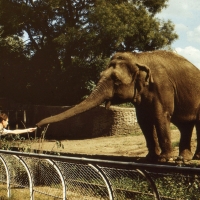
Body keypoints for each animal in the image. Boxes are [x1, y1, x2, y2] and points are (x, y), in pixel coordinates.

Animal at [36, 50, 200, 162]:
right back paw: (183, 159)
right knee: (185, 125)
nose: (38, 125)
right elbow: (144, 121)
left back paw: (194, 159)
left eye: (115, 80)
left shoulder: (162, 87)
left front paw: (164, 159)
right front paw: (149, 158)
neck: (138, 58)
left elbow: (160, 116)